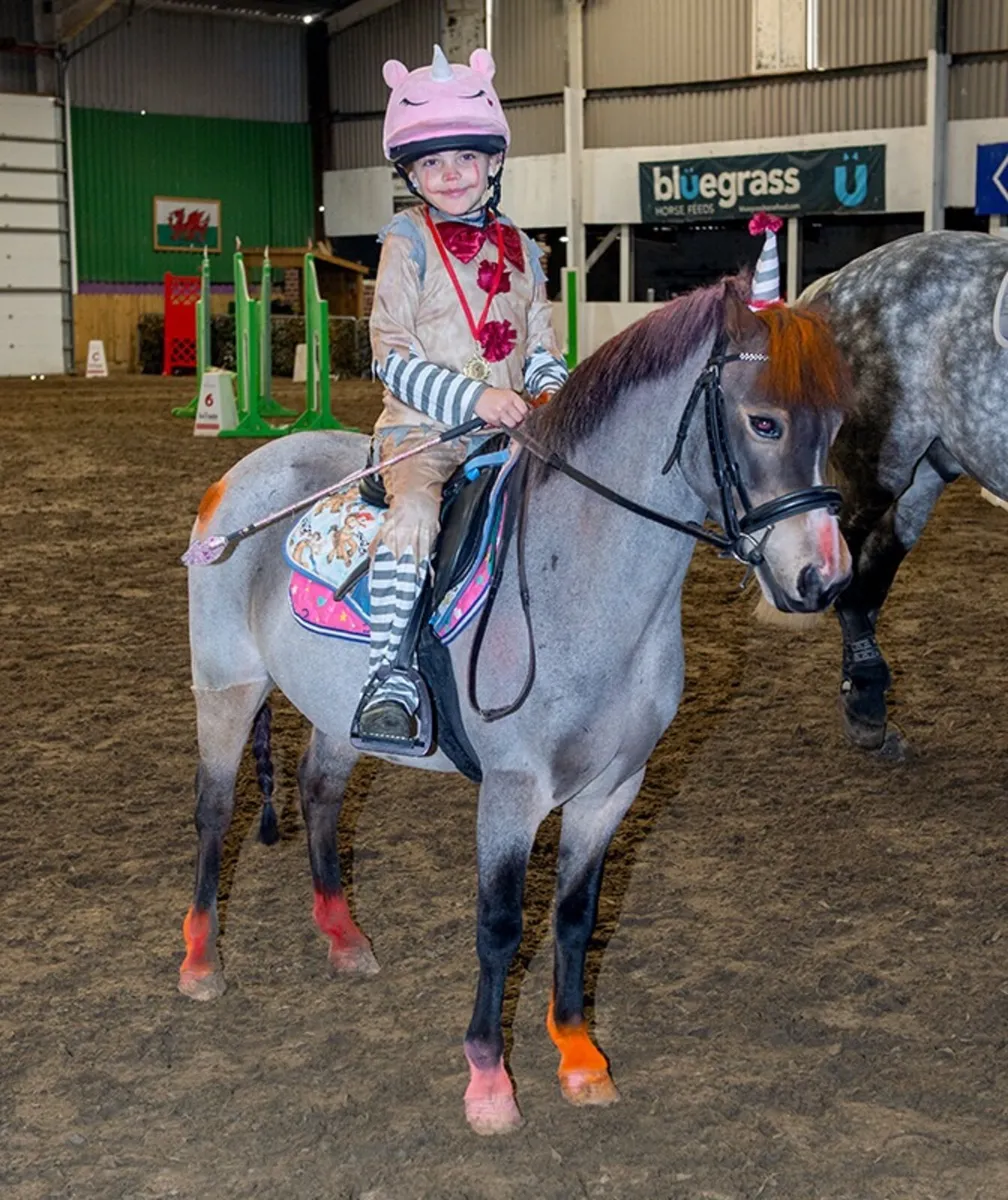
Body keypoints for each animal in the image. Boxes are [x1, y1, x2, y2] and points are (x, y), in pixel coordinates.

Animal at [179, 274, 855, 1135]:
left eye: (835, 426)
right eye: (764, 421)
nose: (823, 578)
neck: (584, 586)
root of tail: (244, 473)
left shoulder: (613, 790)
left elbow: (575, 917)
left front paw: (579, 1055)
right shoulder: (511, 793)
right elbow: (500, 928)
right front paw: (489, 1081)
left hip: (338, 712)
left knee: (320, 793)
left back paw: (344, 938)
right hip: (225, 686)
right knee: (215, 811)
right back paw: (201, 961)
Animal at [797, 230, 1008, 749]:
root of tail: (836, 283)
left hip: (926, 470)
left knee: (875, 567)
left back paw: (863, 695)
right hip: (881, 465)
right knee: (851, 571)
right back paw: (865, 701)